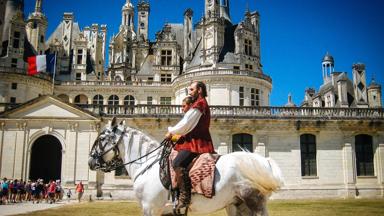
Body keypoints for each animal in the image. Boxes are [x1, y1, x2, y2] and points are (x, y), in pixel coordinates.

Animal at [88, 120, 284, 216]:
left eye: (101, 138)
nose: (90, 162)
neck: (147, 165)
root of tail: (262, 161)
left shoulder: (150, 208)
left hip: (254, 203)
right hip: (236, 205)